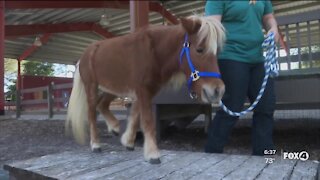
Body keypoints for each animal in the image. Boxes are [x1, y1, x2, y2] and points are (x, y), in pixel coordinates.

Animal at [65, 15, 225, 165]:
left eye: (217, 51)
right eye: (199, 49)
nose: (218, 90)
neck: (153, 52)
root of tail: (84, 55)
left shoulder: (145, 91)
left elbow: (136, 115)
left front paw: (128, 142)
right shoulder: (143, 90)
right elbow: (147, 120)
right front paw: (153, 154)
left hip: (111, 88)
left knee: (102, 105)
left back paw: (114, 127)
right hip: (92, 87)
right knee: (92, 112)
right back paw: (96, 144)